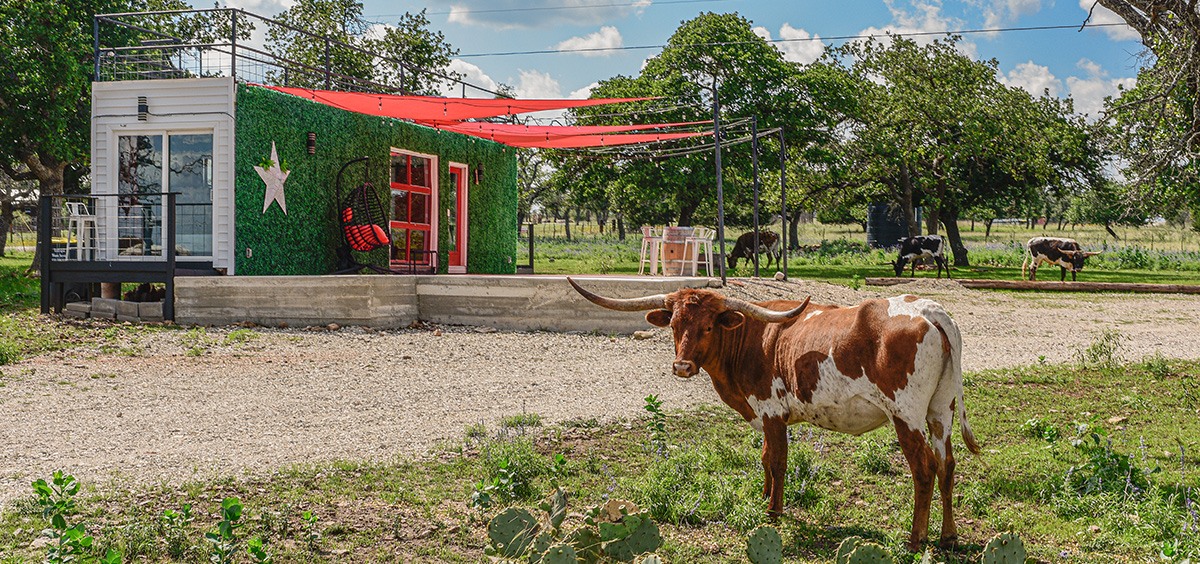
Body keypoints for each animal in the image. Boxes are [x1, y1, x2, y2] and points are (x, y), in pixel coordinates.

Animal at [571, 279, 984, 552]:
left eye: (708, 325)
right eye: (674, 325)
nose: (682, 367)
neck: (751, 337)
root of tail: (928, 309)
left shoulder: (770, 410)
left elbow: (777, 459)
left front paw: (774, 510)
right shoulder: (768, 415)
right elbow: (765, 458)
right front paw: (765, 497)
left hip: (906, 413)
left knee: (924, 469)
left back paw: (916, 539)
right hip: (941, 410)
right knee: (947, 465)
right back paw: (948, 536)